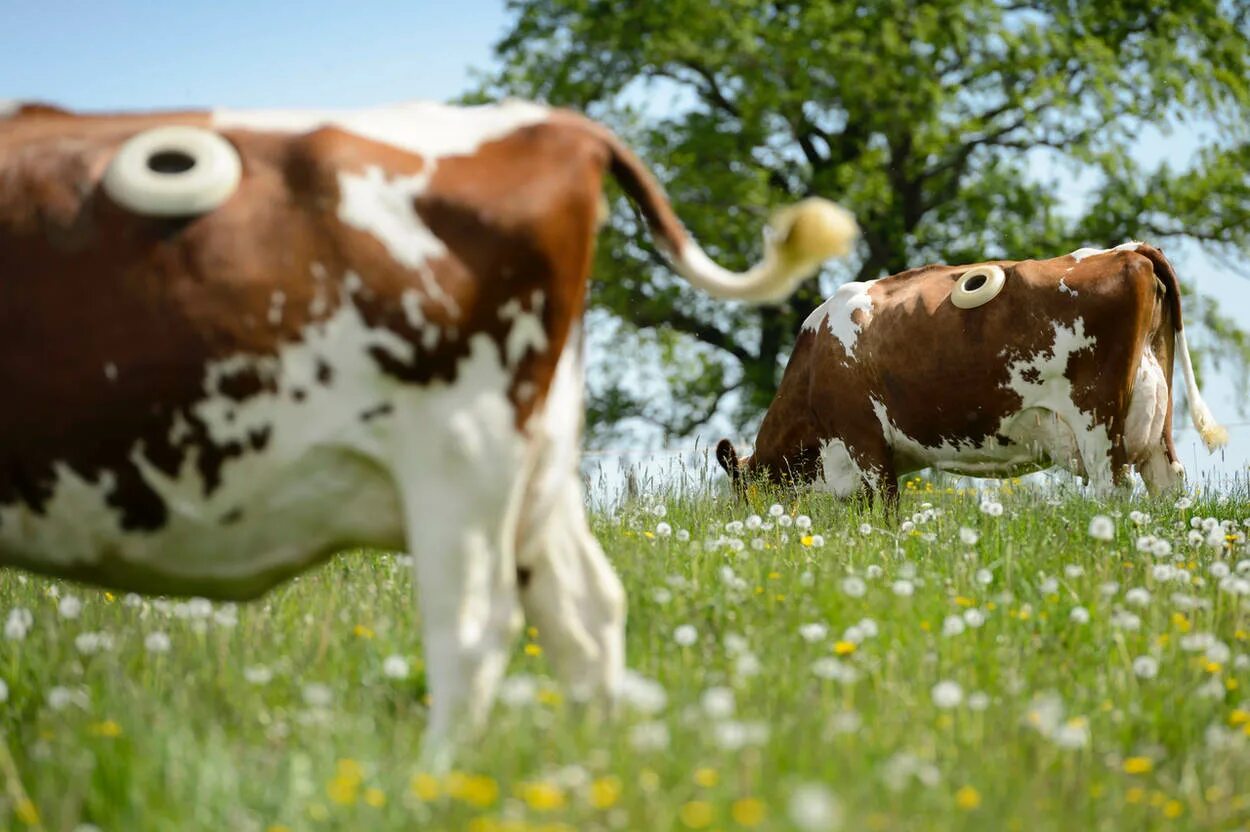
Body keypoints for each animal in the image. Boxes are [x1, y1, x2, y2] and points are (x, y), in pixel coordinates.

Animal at [720, 239, 1225, 504]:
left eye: (743, 495)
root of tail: (1128, 250)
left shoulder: (864, 443)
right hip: (1155, 421)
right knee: (1166, 486)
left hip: (1099, 424)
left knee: (1113, 491)